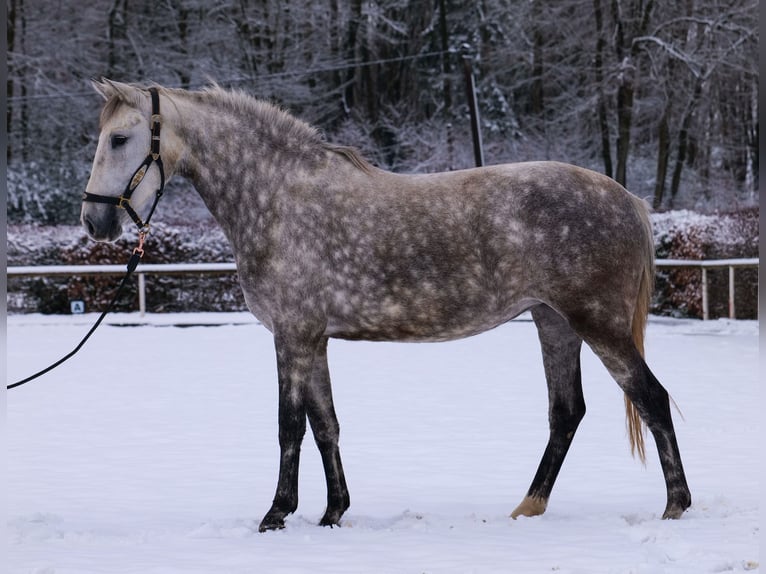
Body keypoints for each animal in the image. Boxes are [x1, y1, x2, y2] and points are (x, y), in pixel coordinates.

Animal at [81, 79, 692, 532]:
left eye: (120, 138)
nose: (94, 221)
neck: (279, 197)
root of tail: (629, 200)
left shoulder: (292, 335)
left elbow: (289, 426)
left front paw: (276, 515)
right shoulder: (312, 338)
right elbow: (325, 424)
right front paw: (333, 513)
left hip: (597, 323)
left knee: (651, 398)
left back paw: (675, 507)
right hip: (554, 322)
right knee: (566, 413)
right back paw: (527, 509)